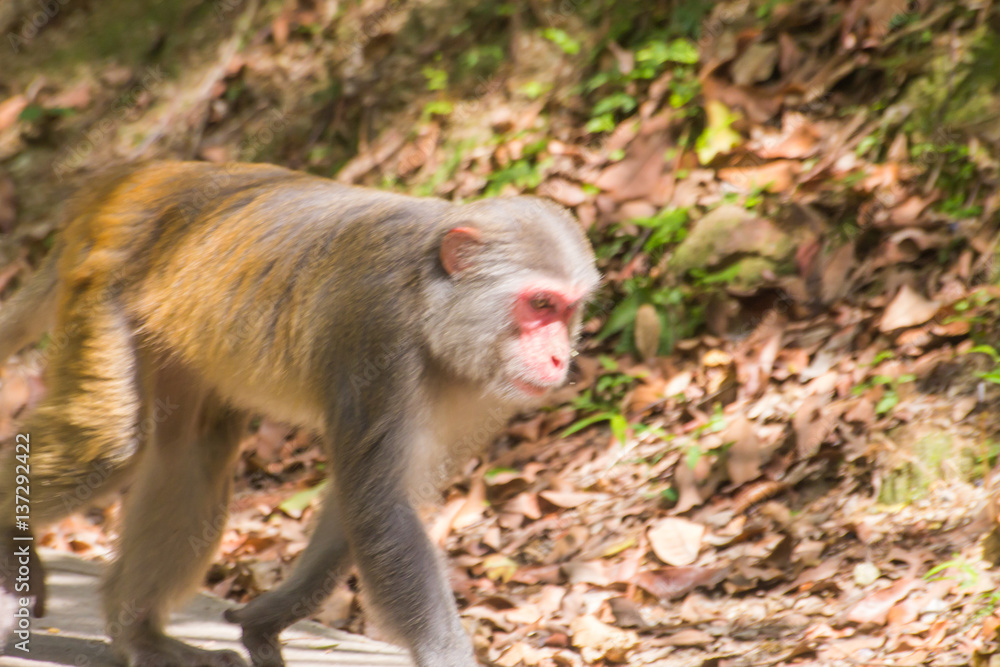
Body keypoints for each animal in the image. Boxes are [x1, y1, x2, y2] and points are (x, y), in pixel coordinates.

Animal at [0, 161, 600, 667]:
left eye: (567, 309)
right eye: (539, 304)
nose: (558, 357)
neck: (432, 306)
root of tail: (129, 178)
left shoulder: (478, 393)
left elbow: (371, 501)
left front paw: (269, 616)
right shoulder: (377, 335)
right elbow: (381, 508)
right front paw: (445, 654)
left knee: (193, 453)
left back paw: (140, 636)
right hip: (105, 280)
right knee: (109, 445)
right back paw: (14, 540)